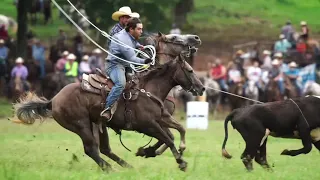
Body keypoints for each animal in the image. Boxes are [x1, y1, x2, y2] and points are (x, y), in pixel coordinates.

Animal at [13, 56, 204, 172]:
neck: (148, 90)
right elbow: (168, 138)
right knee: (91, 149)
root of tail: (53, 100)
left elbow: (177, 131)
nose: (201, 88)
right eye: (190, 70)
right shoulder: (147, 125)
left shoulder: (161, 119)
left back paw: (126, 166)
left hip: (99, 125)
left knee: (104, 149)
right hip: (81, 125)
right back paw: (110, 169)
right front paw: (181, 162)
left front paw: (147, 151)